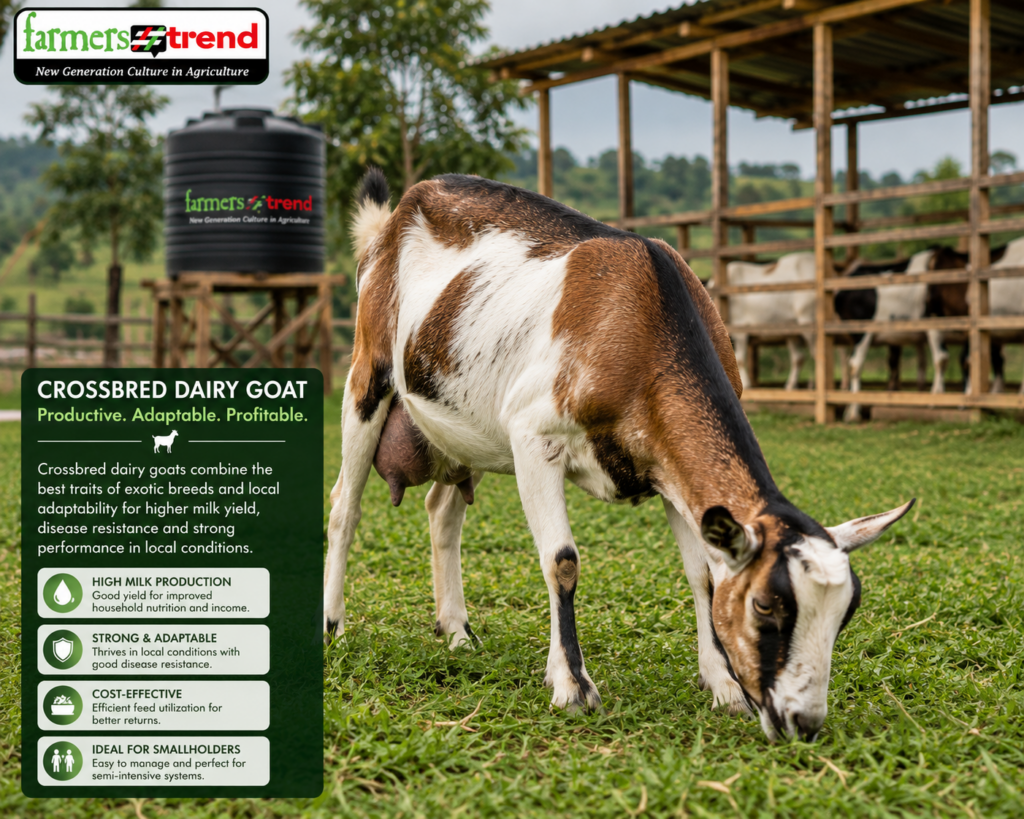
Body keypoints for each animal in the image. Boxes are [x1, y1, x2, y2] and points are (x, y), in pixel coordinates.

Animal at [324, 169, 913, 741]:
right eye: (766, 605)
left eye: (845, 614)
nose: (803, 722)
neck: (642, 321)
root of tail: (392, 220)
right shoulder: (532, 436)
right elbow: (561, 561)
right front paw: (572, 686)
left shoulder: (668, 468)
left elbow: (703, 575)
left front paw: (724, 687)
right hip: (367, 376)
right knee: (344, 507)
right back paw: (333, 627)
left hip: (467, 426)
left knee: (442, 513)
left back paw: (457, 632)